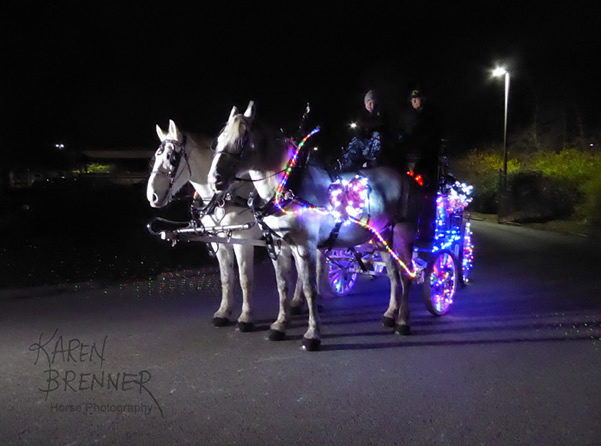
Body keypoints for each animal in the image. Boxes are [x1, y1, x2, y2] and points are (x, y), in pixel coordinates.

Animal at [209, 102, 420, 352]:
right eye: (219, 139)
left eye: (242, 139)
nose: (215, 179)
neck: (287, 187)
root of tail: (406, 176)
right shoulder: (279, 245)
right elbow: (282, 285)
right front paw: (280, 325)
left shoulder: (306, 246)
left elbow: (310, 289)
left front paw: (312, 334)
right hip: (381, 237)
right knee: (393, 274)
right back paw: (390, 314)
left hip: (403, 232)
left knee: (406, 274)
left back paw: (403, 322)